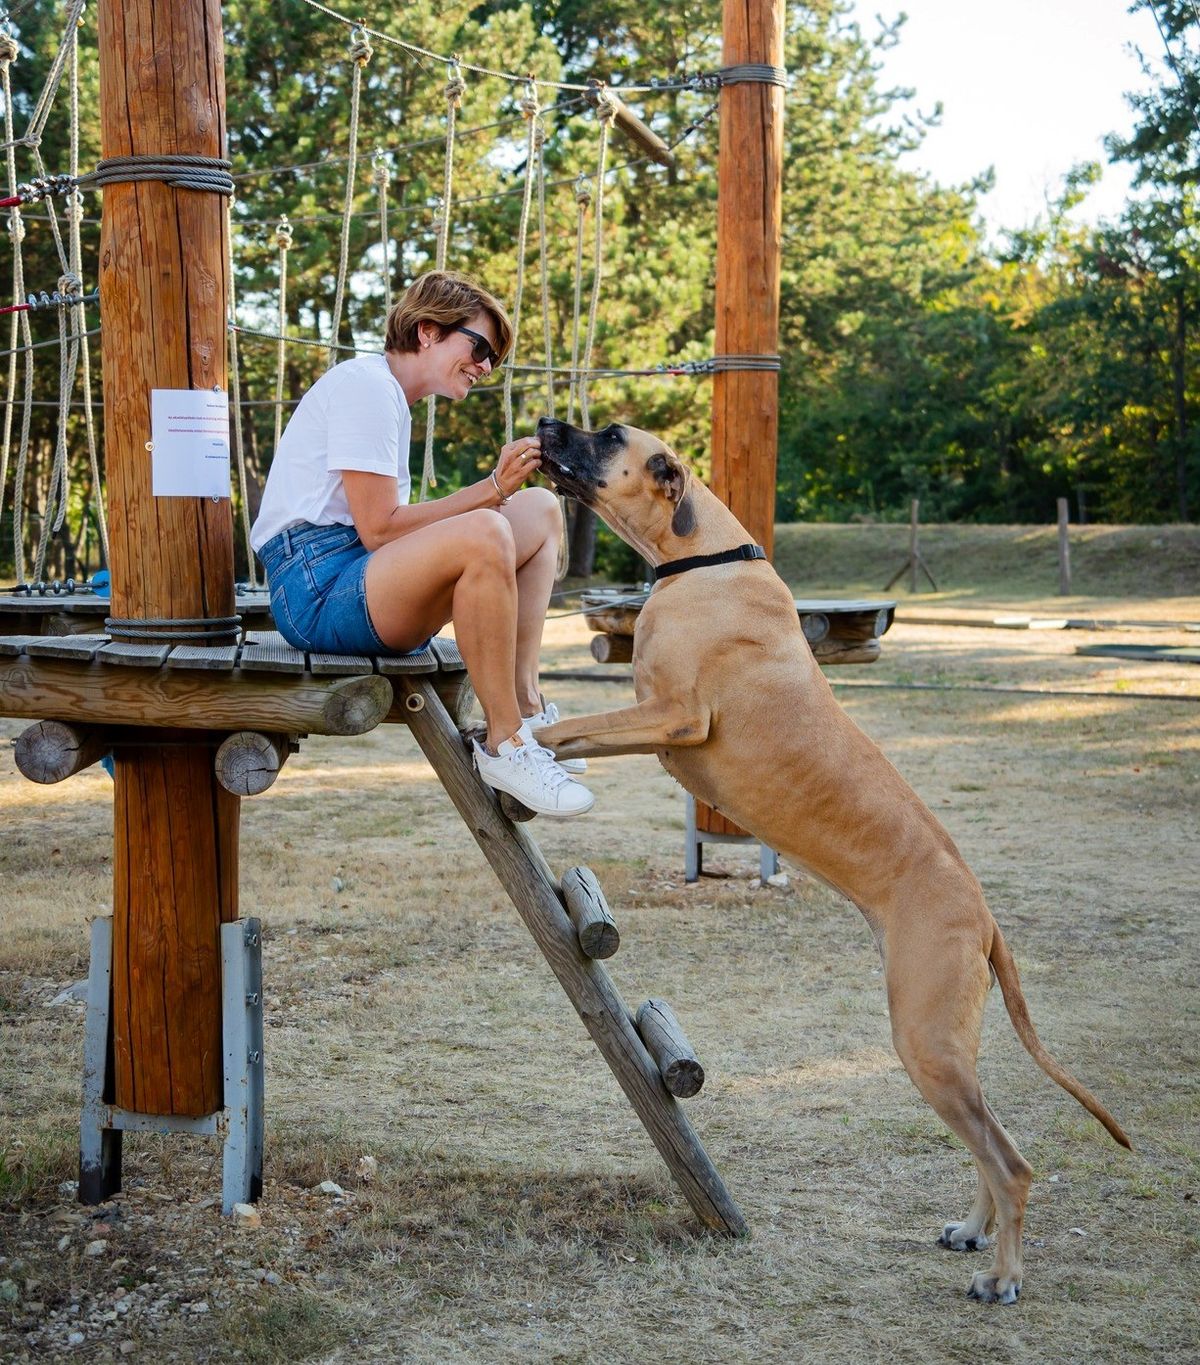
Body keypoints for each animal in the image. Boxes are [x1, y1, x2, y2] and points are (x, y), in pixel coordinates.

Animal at [535, 412, 1124, 1299]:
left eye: (608, 436)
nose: (545, 424)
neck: (701, 556)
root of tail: (985, 916)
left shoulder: (672, 714)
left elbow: (567, 725)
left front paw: (502, 739)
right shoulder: (653, 719)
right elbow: (570, 731)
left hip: (923, 1037)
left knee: (1012, 1161)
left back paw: (1003, 1275)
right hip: (945, 1043)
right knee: (990, 1143)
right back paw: (972, 1230)